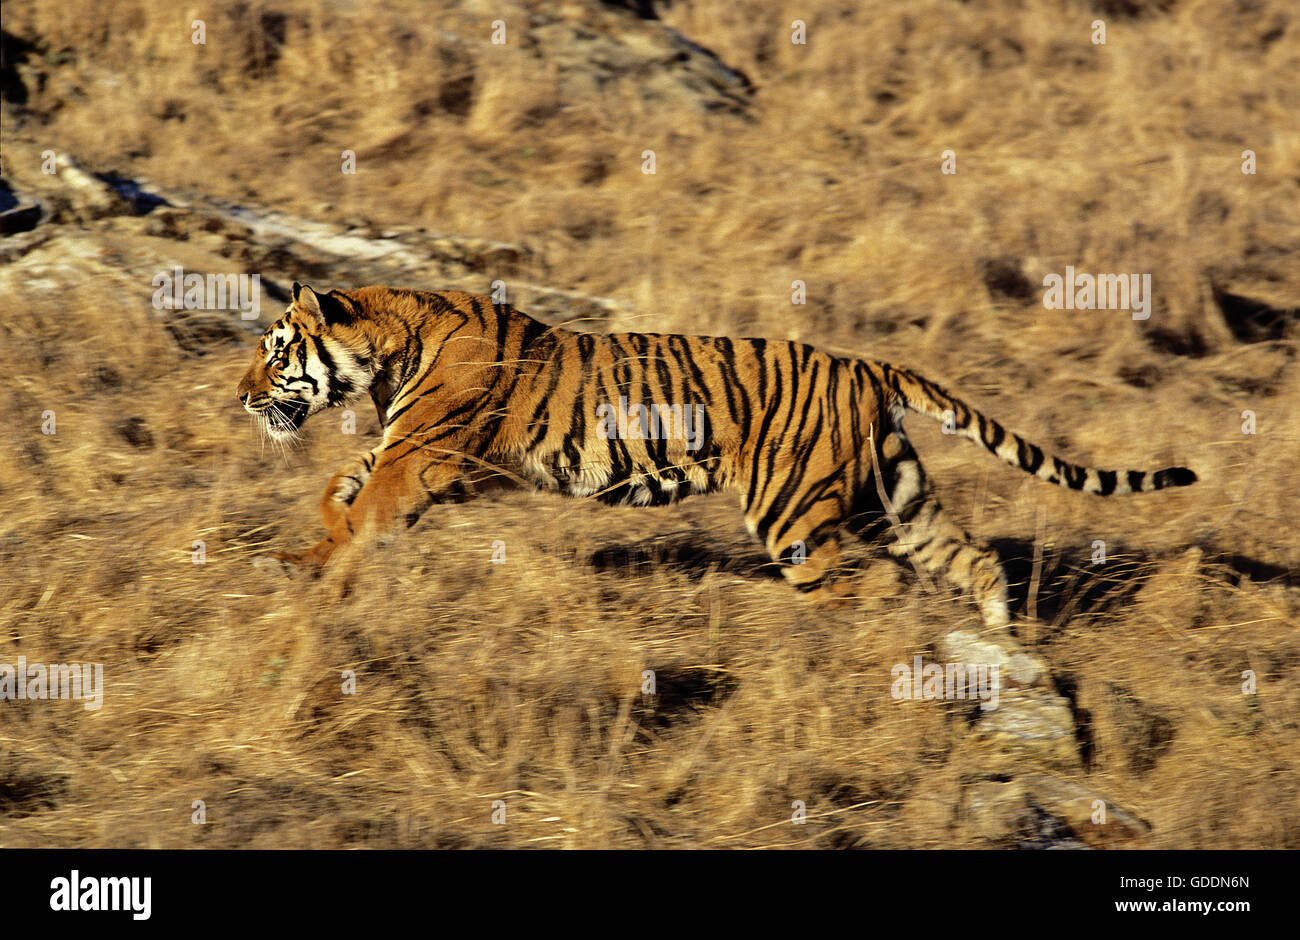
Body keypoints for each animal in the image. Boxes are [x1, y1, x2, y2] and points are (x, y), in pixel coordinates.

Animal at [236, 283, 1196, 626]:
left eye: (277, 353)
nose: (240, 395)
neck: (392, 346)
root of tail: (867, 363)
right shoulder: (435, 460)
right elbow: (341, 490)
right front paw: (304, 554)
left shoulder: (425, 458)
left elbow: (365, 509)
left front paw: (323, 575)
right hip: (892, 494)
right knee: (973, 560)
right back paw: (1004, 654)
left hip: (793, 512)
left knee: (846, 590)